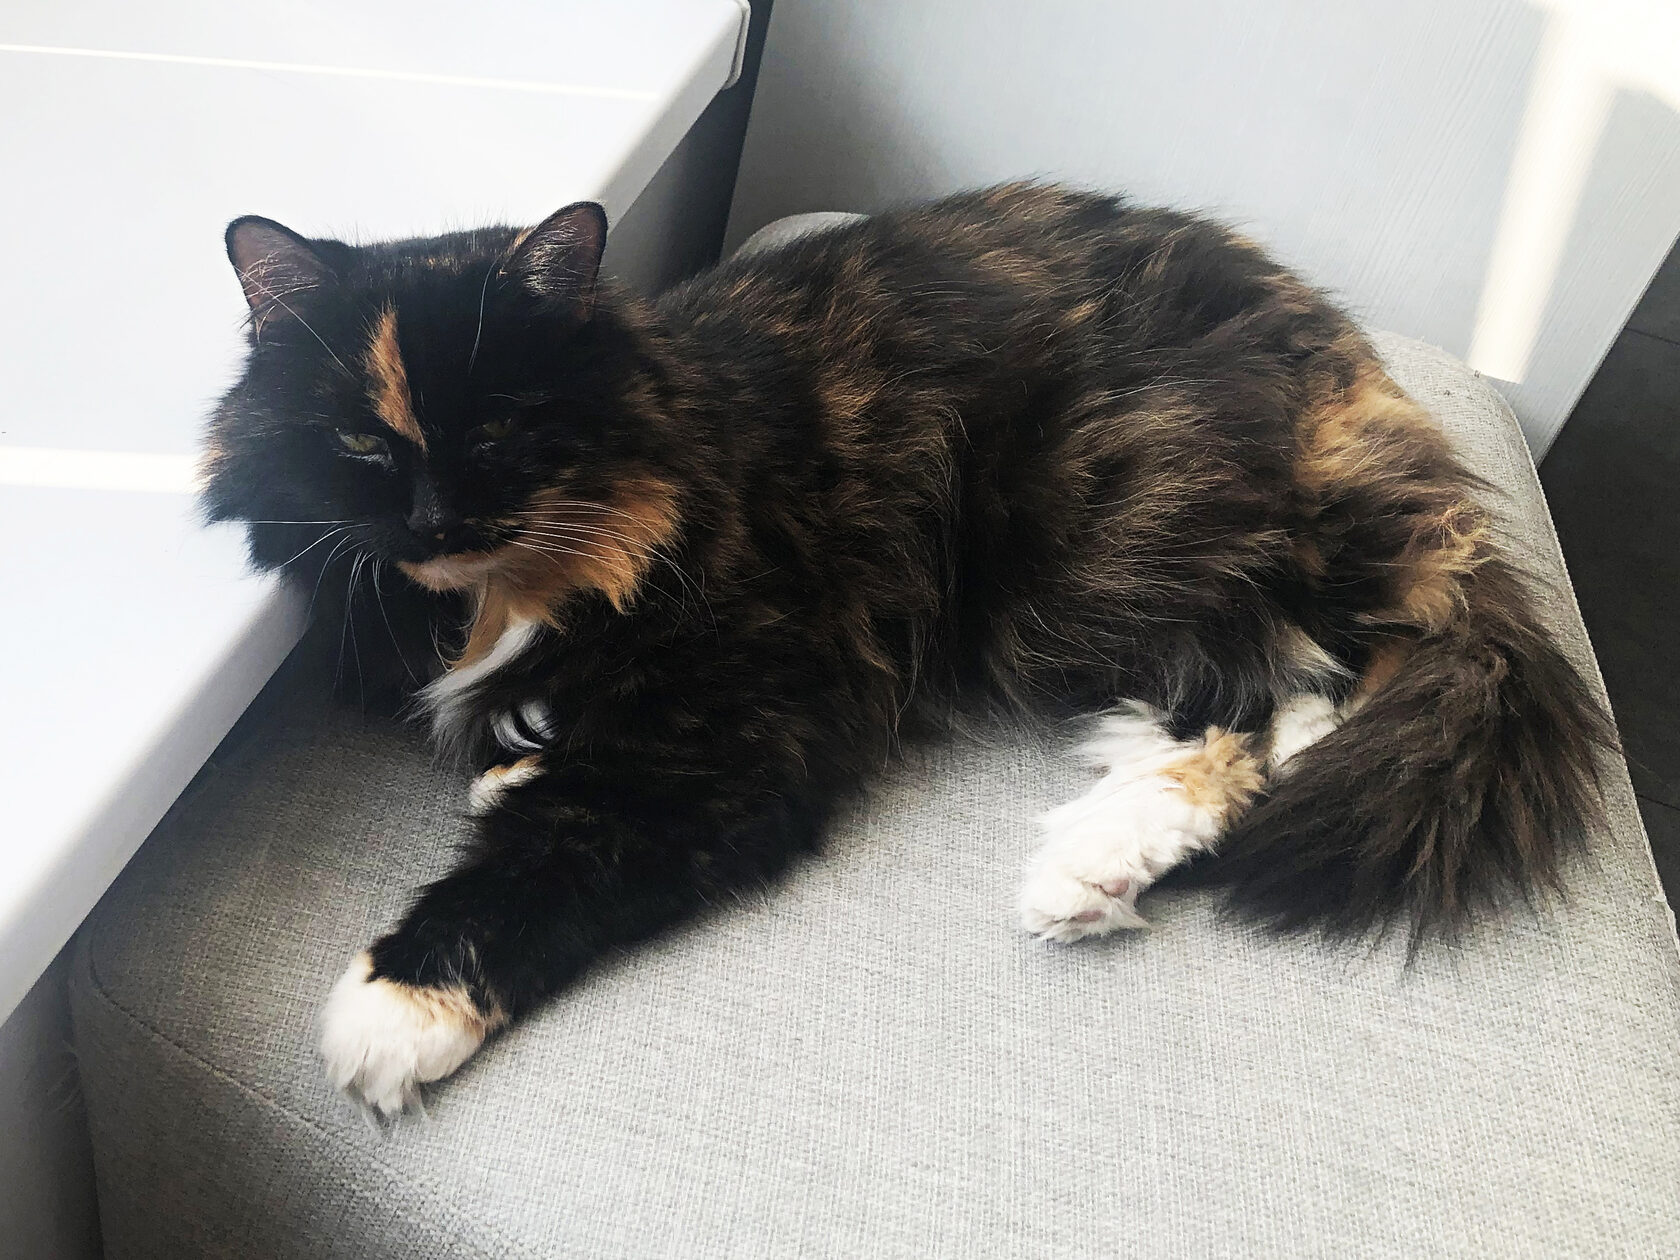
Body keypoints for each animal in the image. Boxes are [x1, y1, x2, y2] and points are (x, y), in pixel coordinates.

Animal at [201, 183, 1612, 1117]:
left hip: (1092, 541)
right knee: (1309, 689)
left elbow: (551, 853)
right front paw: (511, 762)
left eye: (497, 429)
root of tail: (1350, 376)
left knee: (1257, 693)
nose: (431, 519)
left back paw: (1082, 873)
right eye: (360, 440)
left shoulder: (741, 734)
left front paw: (390, 1013)